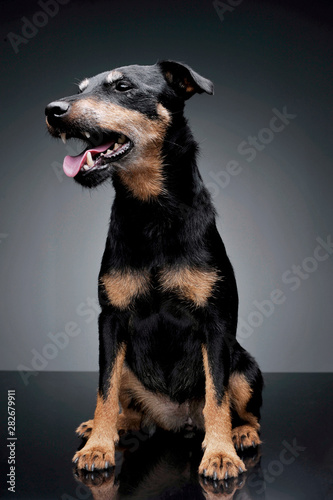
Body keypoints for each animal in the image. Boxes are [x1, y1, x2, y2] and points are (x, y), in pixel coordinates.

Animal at [44, 60, 262, 482]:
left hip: (245, 366)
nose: (52, 110)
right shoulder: (111, 319)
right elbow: (104, 390)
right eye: (81, 88)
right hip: (129, 363)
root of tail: (178, 419)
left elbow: (217, 394)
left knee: (244, 410)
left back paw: (241, 433)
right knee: (126, 404)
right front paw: (98, 446)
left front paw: (221, 453)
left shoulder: (215, 321)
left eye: (122, 87)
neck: (152, 210)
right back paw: (109, 427)